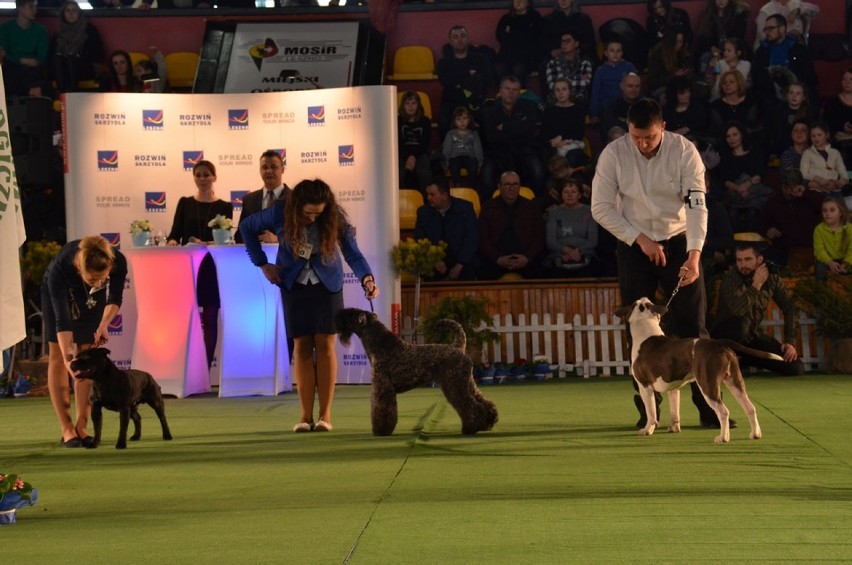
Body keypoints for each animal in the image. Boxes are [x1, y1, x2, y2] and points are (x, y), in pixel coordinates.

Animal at [334, 308, 500, 436]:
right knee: (483, 401)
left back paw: (470, 427)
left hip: (454, 385)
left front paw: (381, 430)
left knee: (469, 405)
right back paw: (488, 422)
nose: (336, 316)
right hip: (466, 383)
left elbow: (381, 409)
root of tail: (457, 347)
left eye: (350, 313)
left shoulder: (382, 388)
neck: (381, 346)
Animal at [612, 298, 780, 442]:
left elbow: (651, 412)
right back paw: (755, 434)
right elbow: (674, 412)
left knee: (723, 411)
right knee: (750, 407)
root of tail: (719, 344)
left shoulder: (645, 387)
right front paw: (674, 429)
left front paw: (647, 430)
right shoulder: (673, 389)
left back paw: (723, 438)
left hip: (707, 384)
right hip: (735, 381)